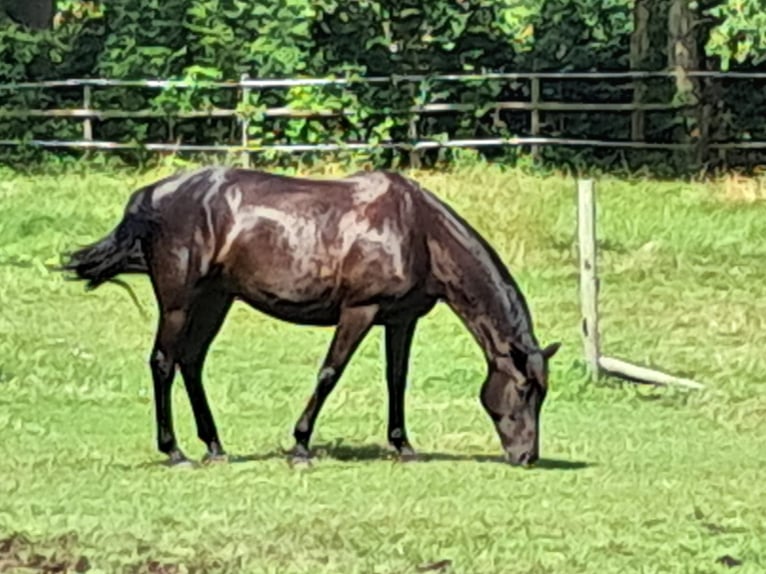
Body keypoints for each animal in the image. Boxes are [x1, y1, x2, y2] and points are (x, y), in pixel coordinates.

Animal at [60, 165, 560, 468]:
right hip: (179, 302)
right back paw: (175, 450)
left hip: (216, 300)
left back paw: (215, 446)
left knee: (191, 362)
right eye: (523, 389)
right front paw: (300, 444)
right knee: (164, 363)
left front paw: (403, 444)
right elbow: (329, 373)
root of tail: (152, 195)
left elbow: (396, 381)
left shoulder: (401, 320)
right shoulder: (360, 311)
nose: (527, 456)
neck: (417, 230)